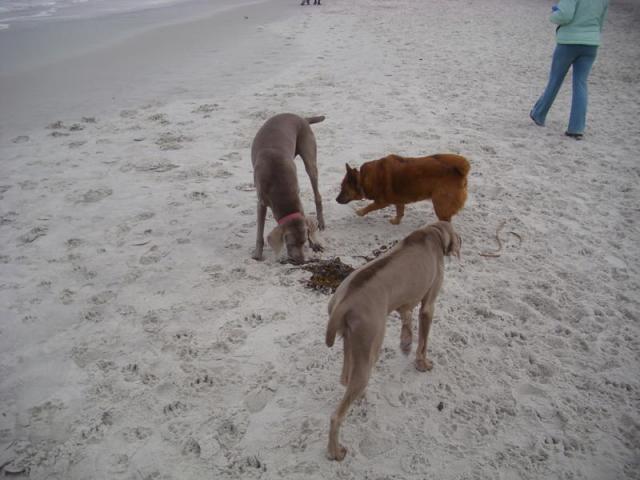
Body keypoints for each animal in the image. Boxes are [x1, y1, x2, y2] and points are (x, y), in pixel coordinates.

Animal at [324, 221, 460, 462]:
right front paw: (422, 364)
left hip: (352, 342)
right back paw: (335, 452)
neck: (433, 232)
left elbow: (407, 320)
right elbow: (423, 342)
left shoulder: (404, 303)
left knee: (345, 379)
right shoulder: (428, 306)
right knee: (336, 416)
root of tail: (344, 302)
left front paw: (406, 343)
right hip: (371, 345)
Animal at [338, 155, 468, 226]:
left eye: (343, 189)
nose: (336, 199)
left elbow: (370, 207)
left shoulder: (382, 202)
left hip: (440, 204)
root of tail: (458, 172)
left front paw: (360, 212)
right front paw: (396, 222)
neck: (363, 179)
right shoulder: (399, 201)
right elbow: (400, 212)